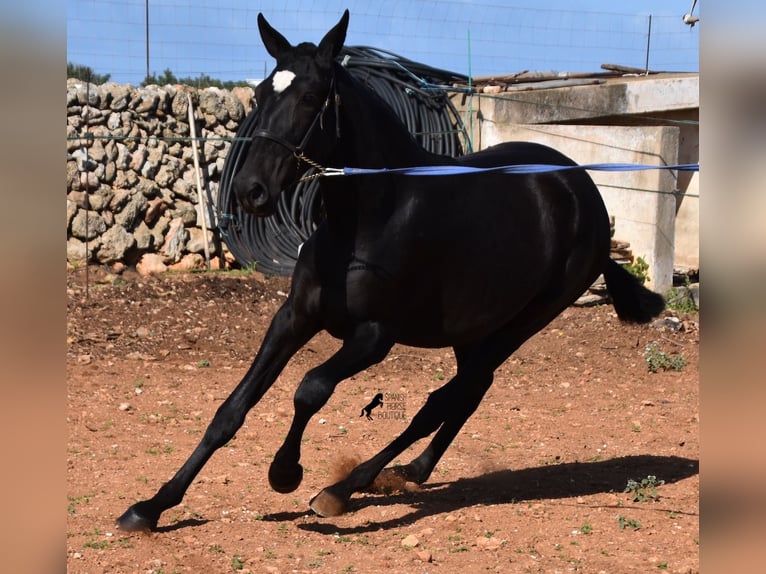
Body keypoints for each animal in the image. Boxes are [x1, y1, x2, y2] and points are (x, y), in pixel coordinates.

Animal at [118, 10, 664, 532]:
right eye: (259, 93)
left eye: (312, 96)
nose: (250, 192)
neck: (368, 219)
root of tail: (582, 191)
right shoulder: (293, 317)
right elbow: (232, 409)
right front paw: (151, 507)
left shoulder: (375, 336)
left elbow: (310, 388)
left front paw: (286, 472)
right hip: (475, 327)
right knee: (470, 392)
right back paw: (411, 471)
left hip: (525, 322)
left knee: (446, 398)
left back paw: (344, 489)